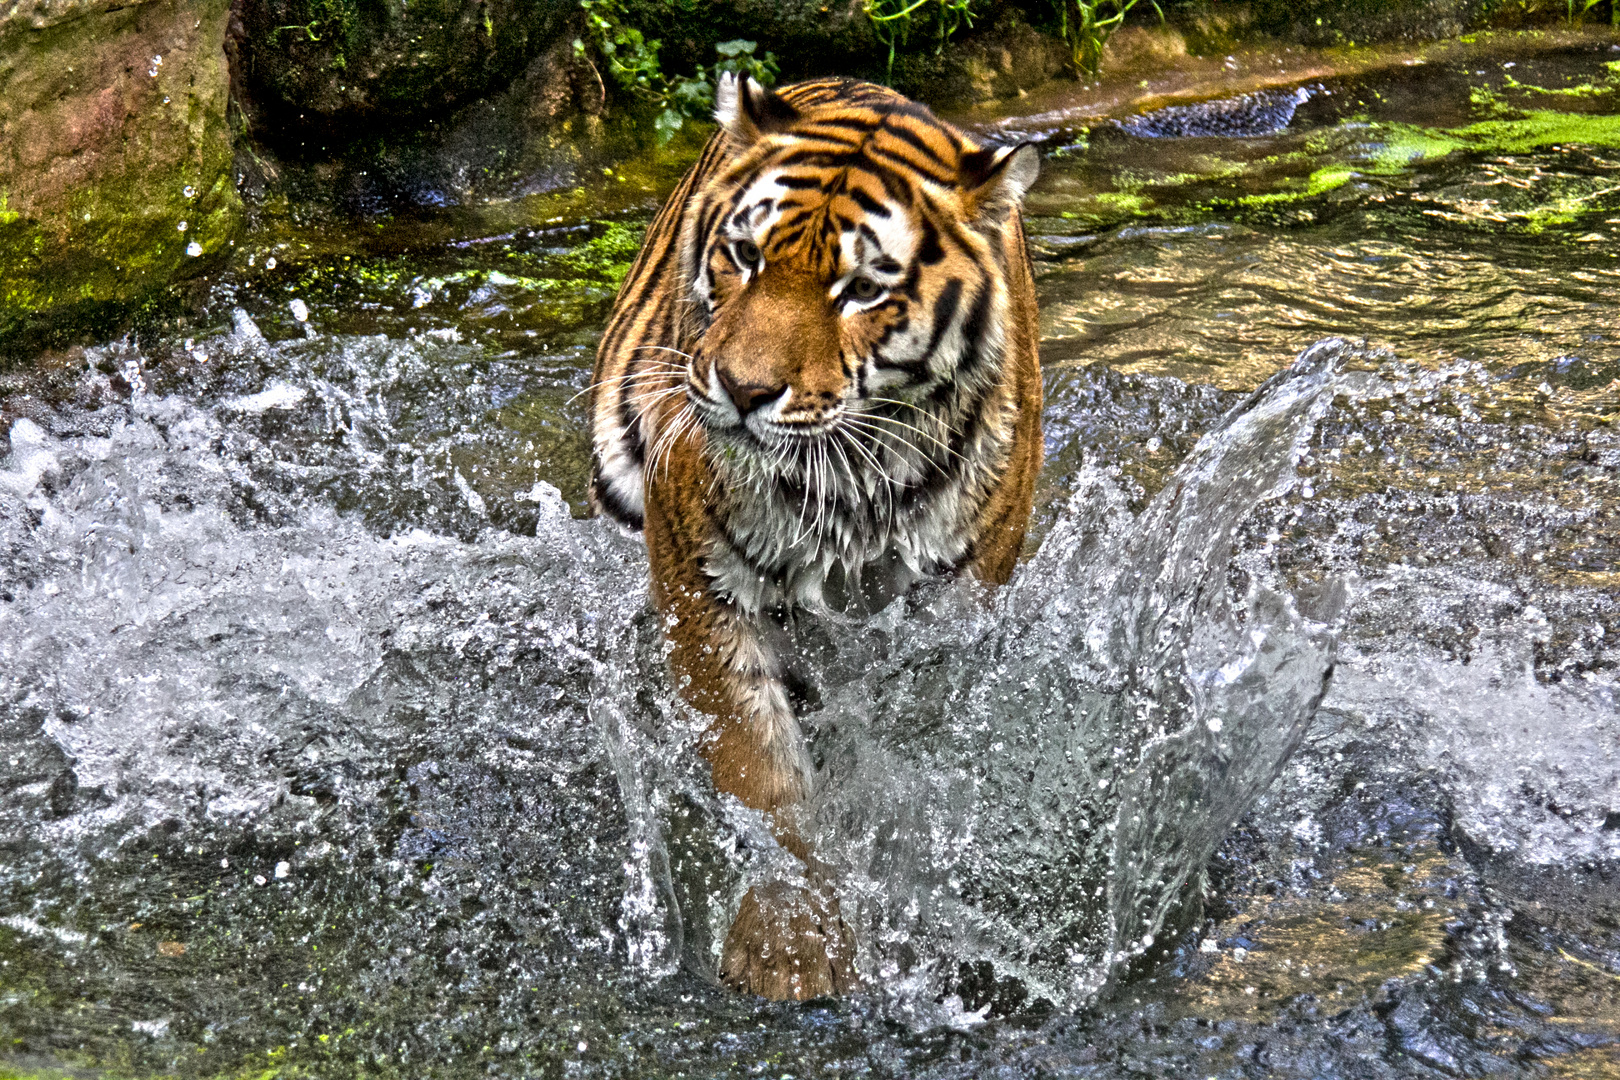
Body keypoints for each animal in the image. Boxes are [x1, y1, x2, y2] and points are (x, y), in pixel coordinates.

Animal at [589, 74, 1043, 1003]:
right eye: (745, 256)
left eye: (861, 291)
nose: (742, 389)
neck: (846, 481)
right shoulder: (704, 581)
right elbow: (760, 770)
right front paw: (789, 945)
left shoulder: (954, 608)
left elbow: (904, 754)